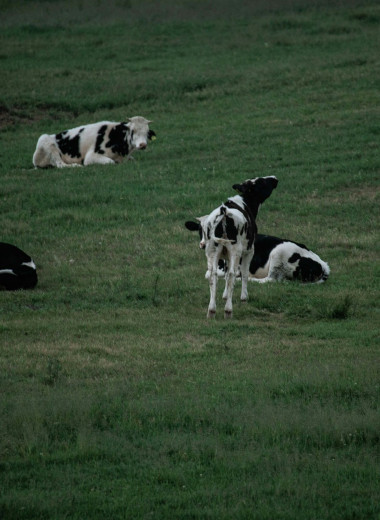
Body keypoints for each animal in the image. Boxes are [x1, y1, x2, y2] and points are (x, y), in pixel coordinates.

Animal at [186, 177, 278, 318]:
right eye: (261, 181)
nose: (274, 178)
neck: (244, 203)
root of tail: (223, 212)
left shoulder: (225, 255)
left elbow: (224, 273)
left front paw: (224, 295)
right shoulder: (249, 251)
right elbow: (244, 273)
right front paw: (244, 298)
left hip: (212, 251)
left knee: (213, 275)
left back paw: (211, 310)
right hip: (236, 250)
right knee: (232, 274)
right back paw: (228, 310)